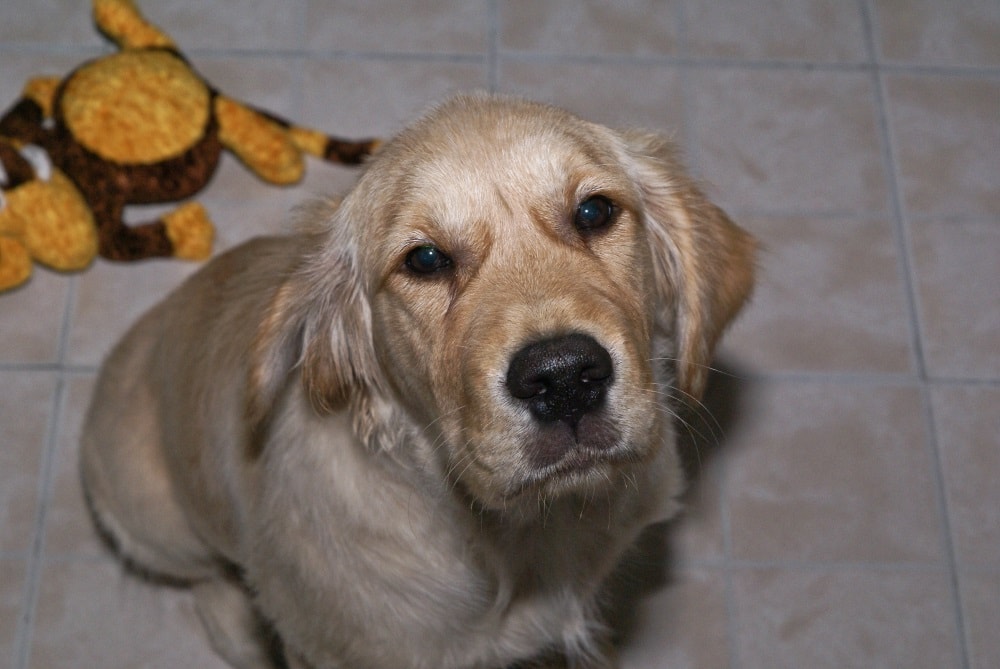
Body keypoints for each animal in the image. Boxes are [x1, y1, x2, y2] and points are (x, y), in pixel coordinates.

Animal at [80, 94, 752, 668]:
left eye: (594, 211)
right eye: (425, 260)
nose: (564, 379)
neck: (516, 538)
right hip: (150, 516)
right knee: (203, 576)